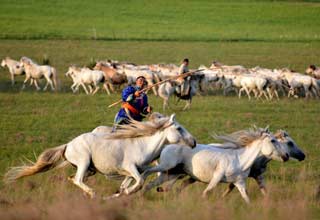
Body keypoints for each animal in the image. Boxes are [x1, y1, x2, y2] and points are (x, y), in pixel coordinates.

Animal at [4, 114, 195, 199]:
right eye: (178, 128)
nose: (193, 142)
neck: (142, 145)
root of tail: (68, 146)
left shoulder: (131, 172)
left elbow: (129, 183)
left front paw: (121, 193)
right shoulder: (130, 167)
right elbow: (140, 182)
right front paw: (127, 193)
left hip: (90, 169)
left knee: (72, 179)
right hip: (83, 162)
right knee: (78, 180)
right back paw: (94, 195)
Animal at [142, 128, 288, 204]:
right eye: (273, 140)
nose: (286, 155)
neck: (239, 160)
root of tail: (167, 145)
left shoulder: (240, 183)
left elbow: (246, 198)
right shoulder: (216, 177)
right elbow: (206, 192)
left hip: (172, 173)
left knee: (153, 185)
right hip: (166, 167)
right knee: (149, 174)